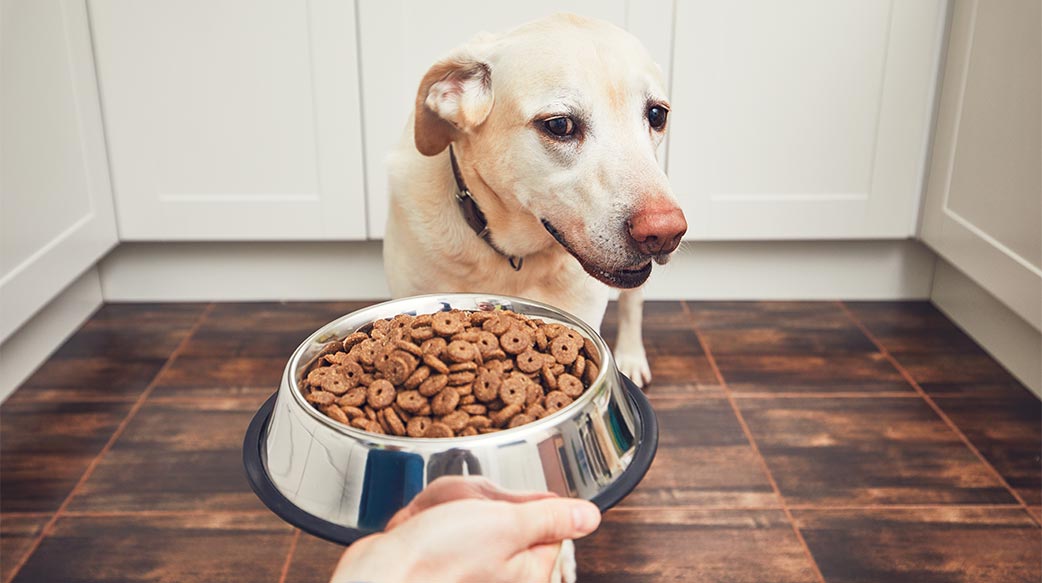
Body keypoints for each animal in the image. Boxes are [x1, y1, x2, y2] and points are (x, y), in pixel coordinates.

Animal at [383, 11, 683, 387]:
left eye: (657, 114)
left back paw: (630, 355)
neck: (512, 257)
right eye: (560, 125)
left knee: (633, 302)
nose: (665, 233)